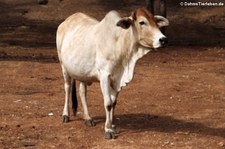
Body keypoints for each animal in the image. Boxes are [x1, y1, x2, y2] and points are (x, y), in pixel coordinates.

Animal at [56, 7, 169, 139]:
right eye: (142, 22)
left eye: (155, 22)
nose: (163, 39)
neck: (119, 43)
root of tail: (66, 21)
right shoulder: (105, 76)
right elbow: (108, 103)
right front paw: (108, 129)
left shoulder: (117, 79)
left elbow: (114, 102)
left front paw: (113, 125)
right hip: (63, 67)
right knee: (67, 88)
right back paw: (65, 115)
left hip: (82, 73)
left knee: (82, 92)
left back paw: (88, 118)